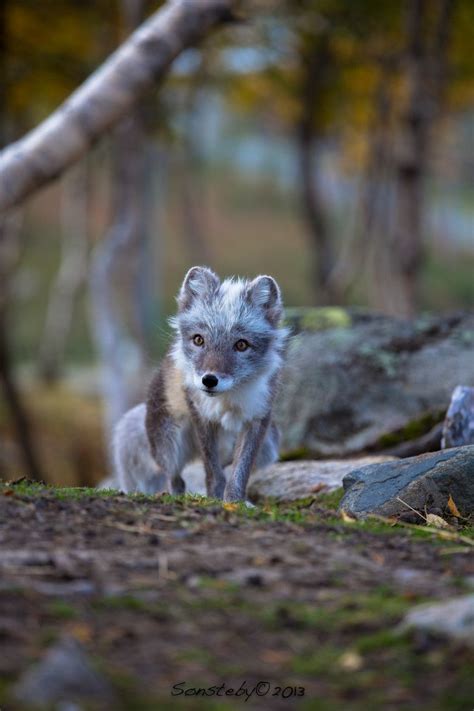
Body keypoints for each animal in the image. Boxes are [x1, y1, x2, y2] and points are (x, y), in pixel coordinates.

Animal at [114, 268, 288, 506]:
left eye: (241, 345)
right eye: (199, 340)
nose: (209, 380)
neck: (227, 399)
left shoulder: (258, 419)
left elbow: (240, 471)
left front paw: (235, 501)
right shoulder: (201, 417)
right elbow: (212, 472)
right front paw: (215, 498)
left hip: (270, 444)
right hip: (169, 443)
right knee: (175, 478)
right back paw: (174, 496)